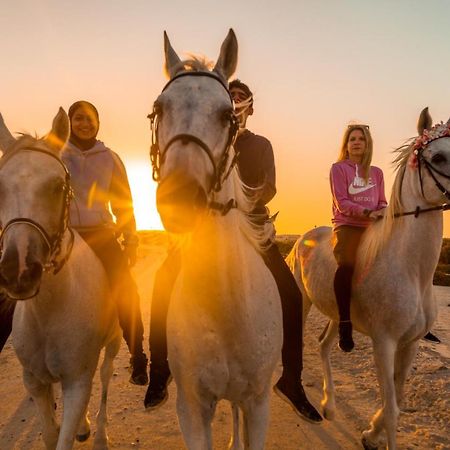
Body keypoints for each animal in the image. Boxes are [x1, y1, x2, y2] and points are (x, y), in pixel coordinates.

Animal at [0, 110, 121, 450]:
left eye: (57, 186)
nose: (19, 271)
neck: (50, 309)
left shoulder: (77, 381)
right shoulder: (34, 381)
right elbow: (49, 432)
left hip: (113, 342)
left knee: (104, 375)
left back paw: (101, 433)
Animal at [286, 107, 448, 448]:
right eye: (439, 157)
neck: (412, 272)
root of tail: (303, 238)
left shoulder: (410, 343)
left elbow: (395, 399)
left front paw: (370, 433)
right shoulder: (384, 344)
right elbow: (391, 409)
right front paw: (377, 435)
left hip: (336, 314)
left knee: (323, 345)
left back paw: (329, 406)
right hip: (303, 300)